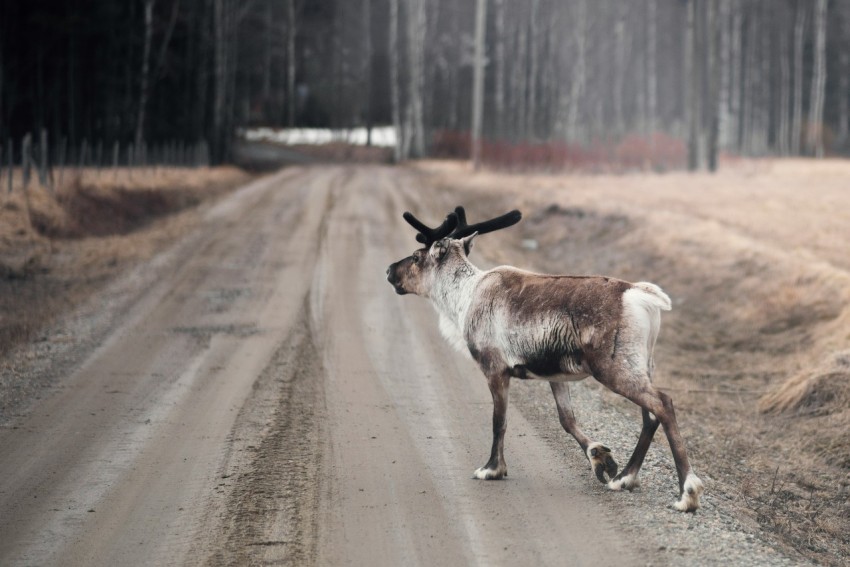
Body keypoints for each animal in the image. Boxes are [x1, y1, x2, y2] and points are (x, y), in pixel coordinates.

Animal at [386, 206, 704, 512]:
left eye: (416, 257)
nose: (389, 270)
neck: (463, 298)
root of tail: (641, 295)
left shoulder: (495, 368)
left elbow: (499, 421)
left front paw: (492, 469)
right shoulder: (555, 374)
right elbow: (566, 419)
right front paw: (600, 458)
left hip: (614, 368)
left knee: (663, 404)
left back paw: (686, 494)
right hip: (641, 365)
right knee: (650, 417)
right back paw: (624, 478)